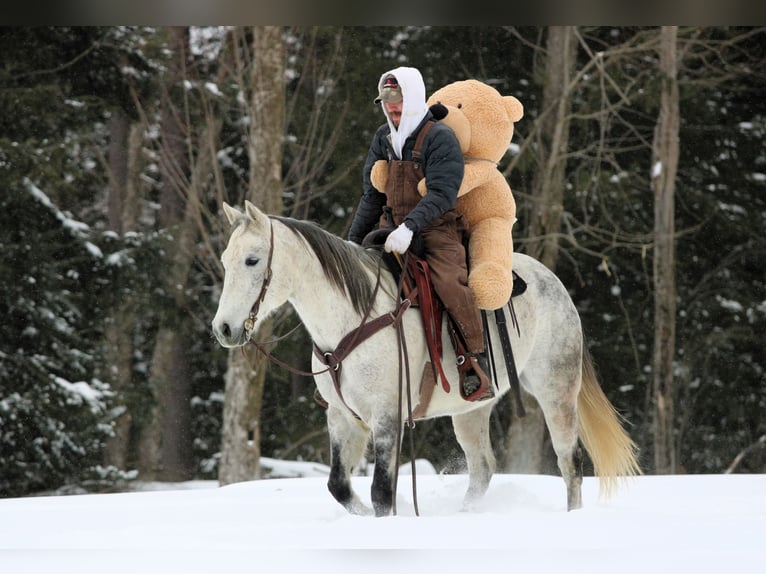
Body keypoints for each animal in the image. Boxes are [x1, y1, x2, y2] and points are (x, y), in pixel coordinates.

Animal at [212, 201, 641, 516]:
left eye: (252, 260)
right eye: (225, 261)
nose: (224, 329)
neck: (353, 319)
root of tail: (554, 283)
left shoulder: (387, 415)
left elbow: (382, 491)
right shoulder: (341, 417)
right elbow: (339, 486)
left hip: (557, 392)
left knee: (570, 464)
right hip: (471, 410)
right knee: (482, 468)